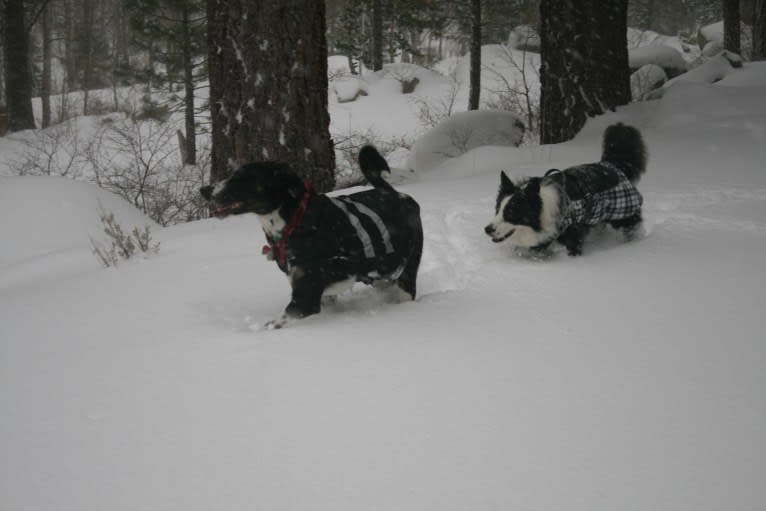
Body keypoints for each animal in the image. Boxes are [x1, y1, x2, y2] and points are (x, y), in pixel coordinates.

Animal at [201, 146, 424, 330]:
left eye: (240, 176)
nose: (204, 190)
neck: (296, 221)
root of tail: (395, 194)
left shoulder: (305, 297)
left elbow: (275, 322)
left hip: (407, 272)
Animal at [486, 122, 648, 258]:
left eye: (511, 213)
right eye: (497, 210)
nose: (487, 229)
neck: (542, 212)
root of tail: (613, 165)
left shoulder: (572, 234)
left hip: (623, 214)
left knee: (633, 228)